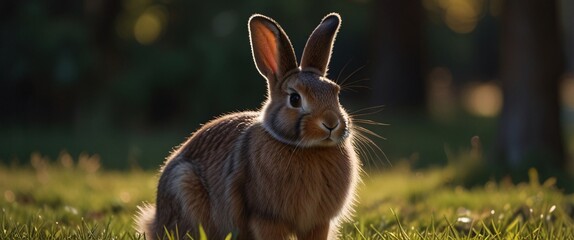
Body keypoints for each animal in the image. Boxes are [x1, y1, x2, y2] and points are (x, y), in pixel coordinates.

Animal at [136, 12, 362, 240]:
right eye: (295, 99)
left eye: (335, 93)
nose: (331, 123)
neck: (307, 148)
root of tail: (155, 221)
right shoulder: (265, 218)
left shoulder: (318, 222)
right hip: (184, 184)